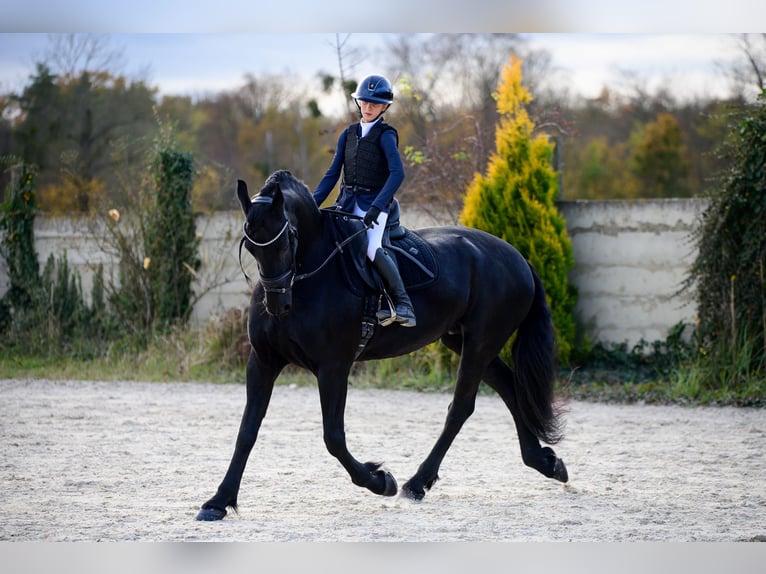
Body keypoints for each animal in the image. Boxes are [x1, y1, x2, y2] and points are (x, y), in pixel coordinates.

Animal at [198, 170, 568, 520]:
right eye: (251, 245)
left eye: (287, 239)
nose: (278, 304)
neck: (310, 274)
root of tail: (516, 257)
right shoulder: (263, 361)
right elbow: (247, 431)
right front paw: (218, 502)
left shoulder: (333, 366)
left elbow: (333, 437)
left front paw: (380, 481)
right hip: (465, 341)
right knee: (508, 386)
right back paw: (545, 462)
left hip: (481, 342)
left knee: (461, 407)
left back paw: (416, 484)